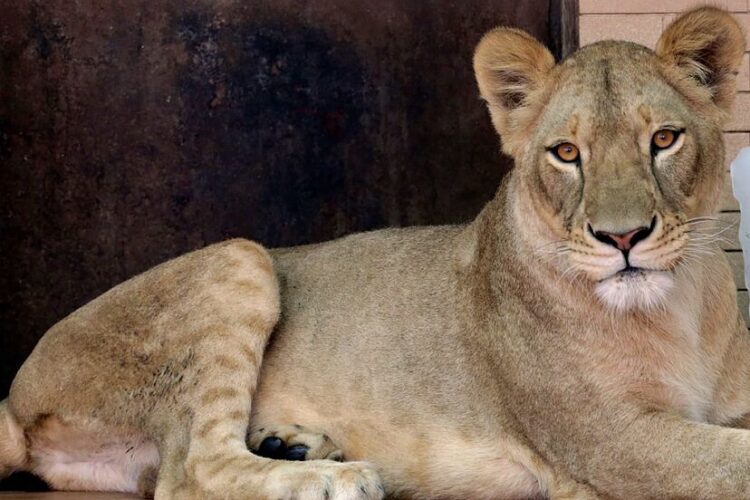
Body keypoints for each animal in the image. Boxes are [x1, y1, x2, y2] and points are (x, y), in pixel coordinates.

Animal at [1, 6, 749, 499]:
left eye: (664, 140)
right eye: (567, 153)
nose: (622, 239)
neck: (680, 307)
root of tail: (18, 393)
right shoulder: (609, 442)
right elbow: (734, 463)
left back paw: (293, 445)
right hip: (239, 256)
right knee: (188, 473)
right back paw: (336, 479)